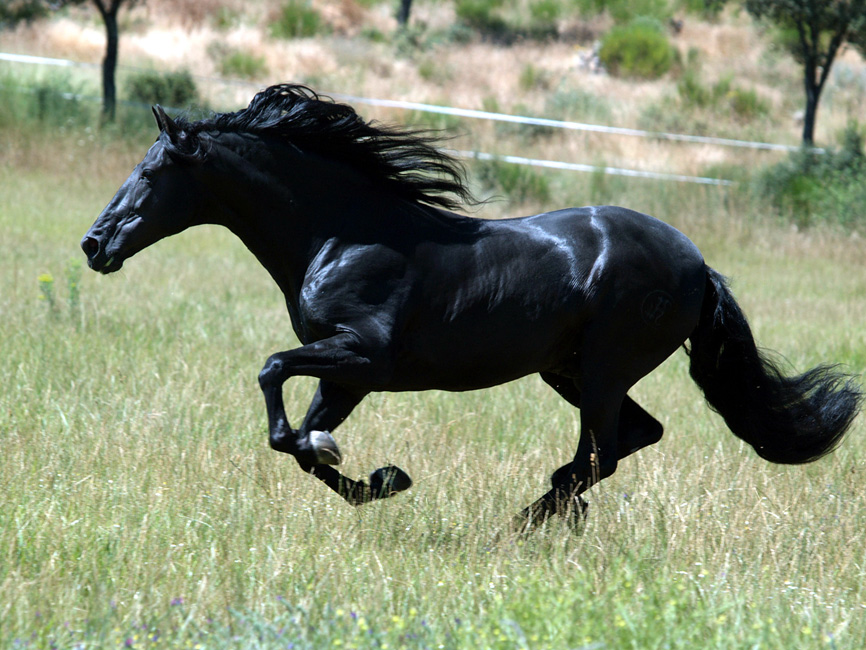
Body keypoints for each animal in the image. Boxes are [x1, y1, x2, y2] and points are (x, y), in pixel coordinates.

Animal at [81, 85, 856, 528]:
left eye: (152, 170)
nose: (94, 244)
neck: (341, 234)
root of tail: (699, 264)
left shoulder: (364, 354)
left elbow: (274, 377)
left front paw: (368, 470)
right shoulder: (348, 375)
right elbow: (299, 443)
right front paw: (382, 481)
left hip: (603, 368)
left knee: (601, 453)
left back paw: (525, 520)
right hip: (565, 371)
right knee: (632, 439)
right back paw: (546, 514)